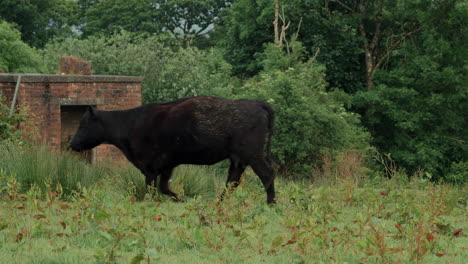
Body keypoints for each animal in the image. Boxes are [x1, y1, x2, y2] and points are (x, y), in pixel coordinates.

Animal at [69, 97, 274, 204]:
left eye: (83, 124)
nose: (72, 144)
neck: (130, 124)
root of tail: (256, 103)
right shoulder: (167, 166)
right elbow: (164, 187)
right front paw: (184, 198)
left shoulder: (150, 168)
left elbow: (152, 189)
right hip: (238, 160)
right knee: (232, 181)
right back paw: (219, 203)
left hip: (253, 156)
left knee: (267, 175)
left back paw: (271, 203)